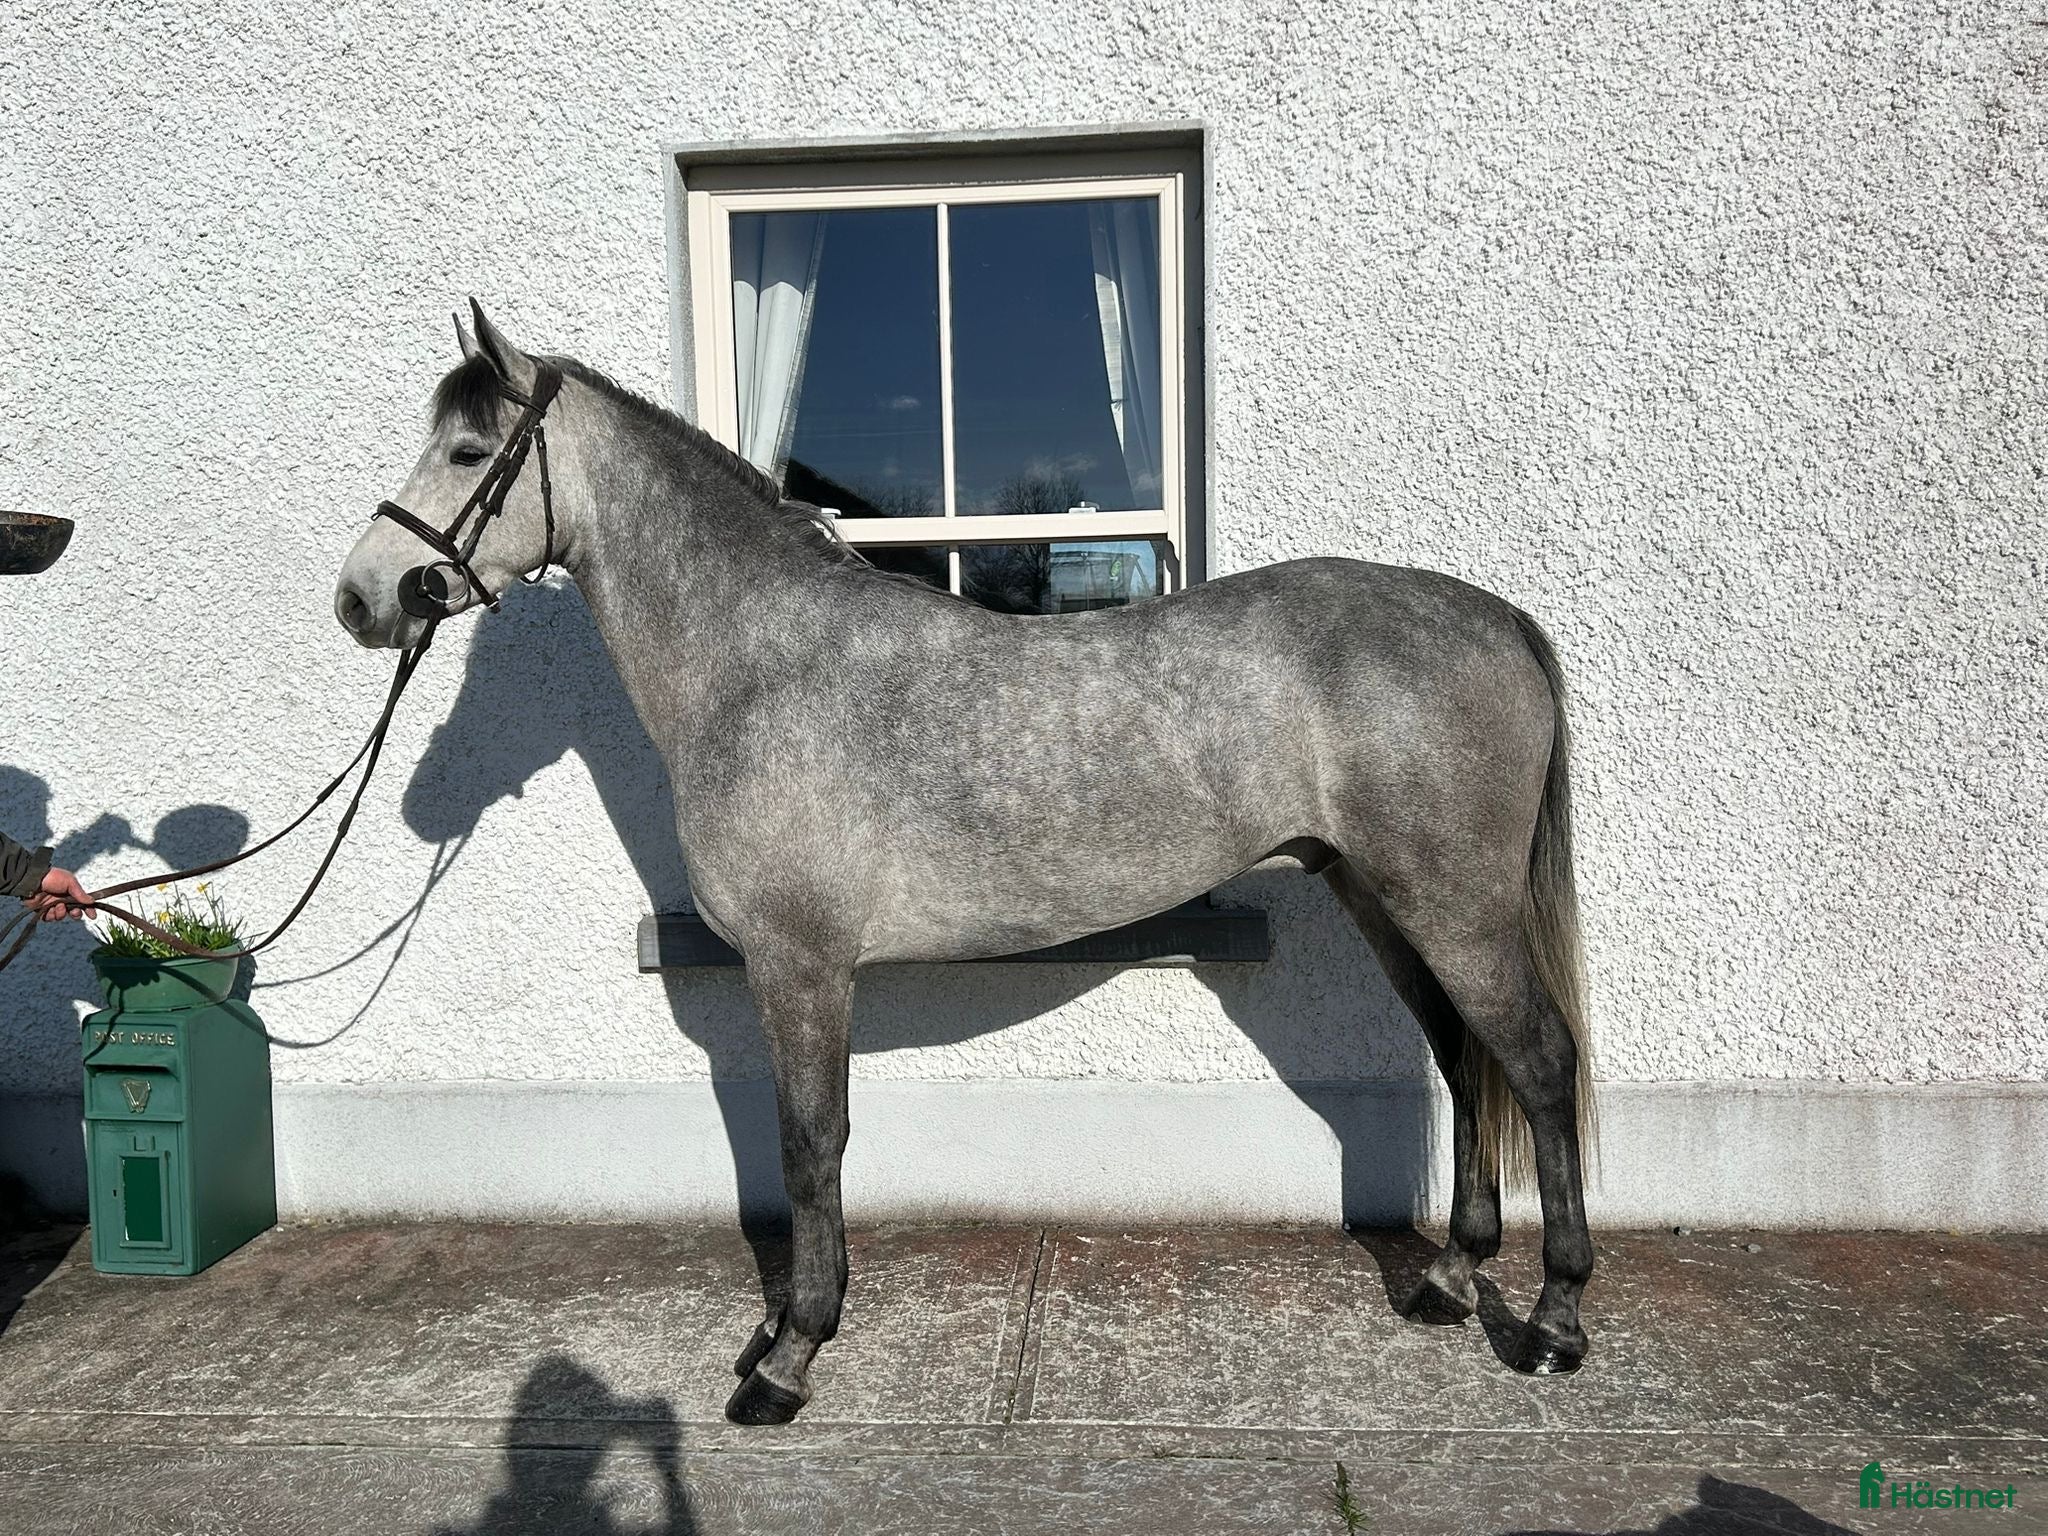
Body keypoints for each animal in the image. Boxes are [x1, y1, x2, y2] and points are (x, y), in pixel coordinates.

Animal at [334, 302, 1598, 1425]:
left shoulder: (799, 967)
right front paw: (786, 1327)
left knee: (1535, 1062)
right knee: (1463, 1057)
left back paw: (1551, 1322)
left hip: (1453, 906)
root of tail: (1491, 617)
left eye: (466, 451)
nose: (361, 598)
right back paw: (1447, 1279)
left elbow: (809, 1146)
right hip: (1386, 898)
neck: (761, 669)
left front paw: (789, 1354)